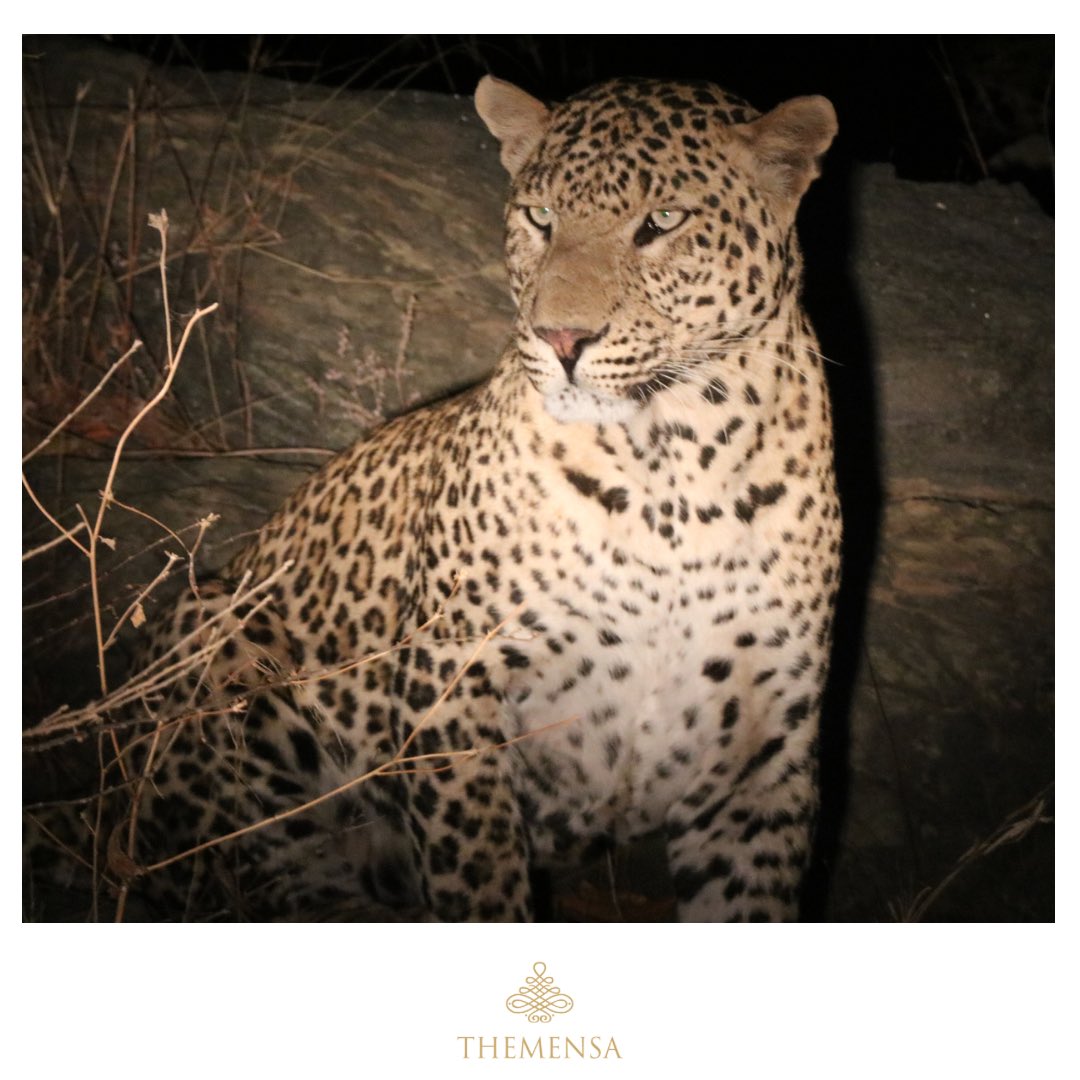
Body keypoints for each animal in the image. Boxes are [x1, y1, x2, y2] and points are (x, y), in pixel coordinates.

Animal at [24, 75, 841, 922]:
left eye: (664, 222)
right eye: (540, 218)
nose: (560, 340)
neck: (673, 469)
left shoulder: (764, 752)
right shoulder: (450, 685)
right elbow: (477, 876)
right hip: (217, 636)